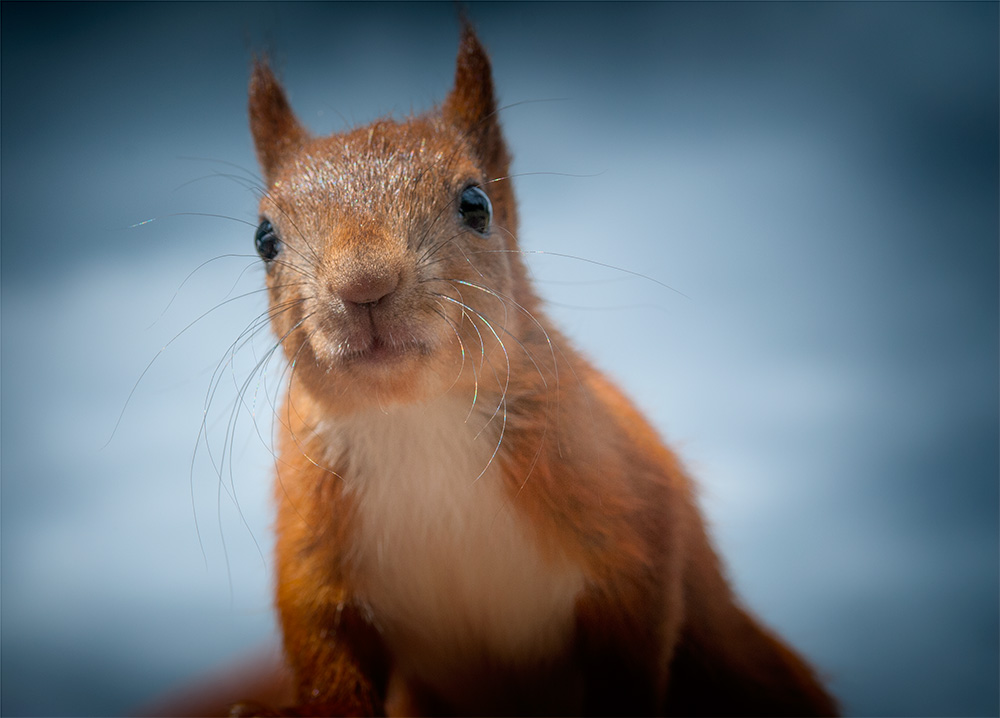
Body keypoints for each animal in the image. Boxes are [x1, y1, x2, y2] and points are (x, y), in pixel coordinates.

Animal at [213, 19, 844, 716]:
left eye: (476, 205)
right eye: (264, 239)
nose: (364, 285)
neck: (416, 417)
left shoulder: (628, 515)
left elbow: (636, 635)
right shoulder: (313, 559)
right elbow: (327, 663)